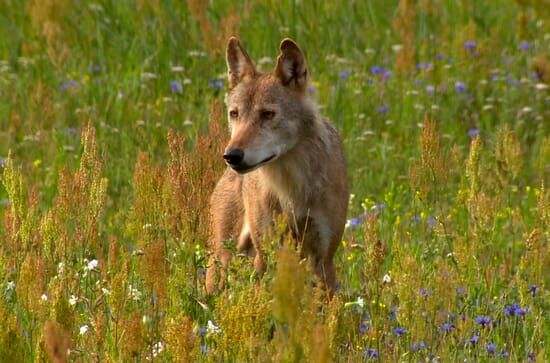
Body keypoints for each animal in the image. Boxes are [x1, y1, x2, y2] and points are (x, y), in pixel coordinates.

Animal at [207, 36, 350, 296]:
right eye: (234, 114)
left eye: (267, 114)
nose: (232, 156)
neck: (292, 186)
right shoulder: (265, 256)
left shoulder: (323, 259)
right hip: (223, 264)